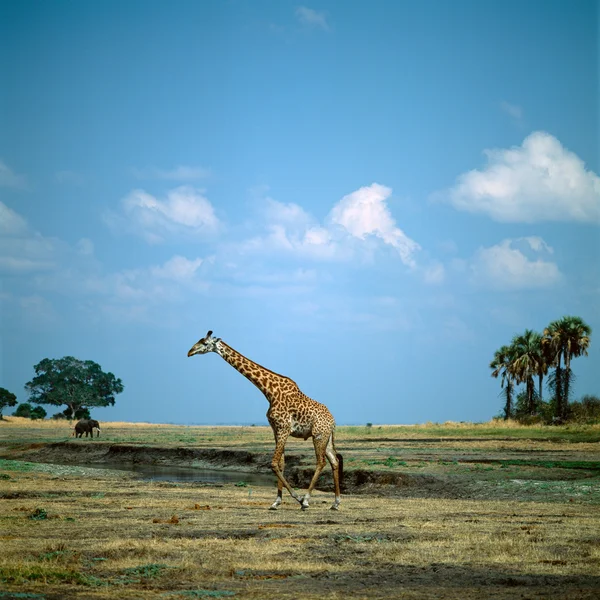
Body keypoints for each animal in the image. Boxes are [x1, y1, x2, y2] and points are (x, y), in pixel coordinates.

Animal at [190, 330, 344, 508]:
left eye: (204, 343)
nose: (189, 352)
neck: (269, 391)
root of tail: (333, 421)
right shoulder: (276, 429)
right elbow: (281, 463)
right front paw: (276, 501)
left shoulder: (284, 428)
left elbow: (273, 464)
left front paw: (297, 498)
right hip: (326, 437)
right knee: (334, 461)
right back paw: (335, 503)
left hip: (318, 435)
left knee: (321, 462)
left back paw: (306, 500)